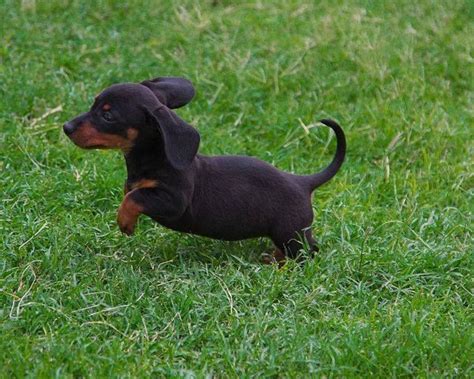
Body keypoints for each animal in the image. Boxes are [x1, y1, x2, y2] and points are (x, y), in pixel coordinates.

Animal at [63, 75, 344, 262]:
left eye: (108, 116)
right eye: (94, 104)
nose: (66, 127)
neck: (152, 158)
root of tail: (303, 182)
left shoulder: (174, 201)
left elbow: (134, 197)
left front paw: (125, 223)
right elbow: (130, 191)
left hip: (290, 232)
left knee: (308, 252)